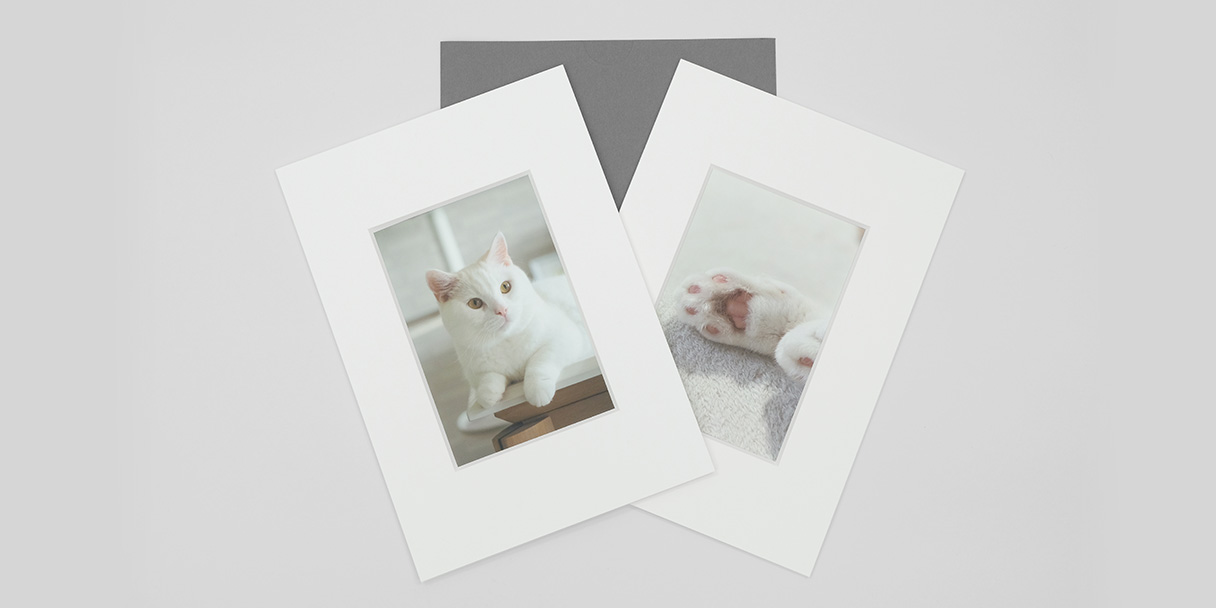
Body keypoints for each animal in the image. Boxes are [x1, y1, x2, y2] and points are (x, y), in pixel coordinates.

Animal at [426, 232, 592, 415]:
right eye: (475, 303)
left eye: (505, 286)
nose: (502, 310)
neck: (507, 342)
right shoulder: (474, 370)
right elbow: (487, 377)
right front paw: (487, 394)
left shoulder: (567, 337)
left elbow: (540, 358)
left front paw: (537, 389)